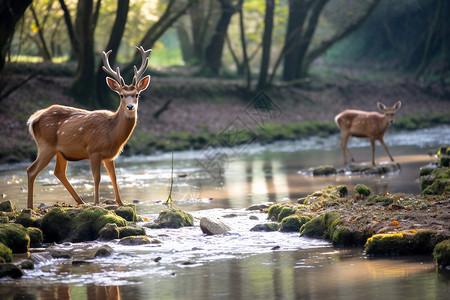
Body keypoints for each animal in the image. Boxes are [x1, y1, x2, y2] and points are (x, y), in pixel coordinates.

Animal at [27, 45, 152, 209]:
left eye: (137, 94)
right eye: (121, 95)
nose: (130, 107)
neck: (111, 133)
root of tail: (33, 119)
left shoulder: (110, 156)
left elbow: (114, 177)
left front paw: (120, 203)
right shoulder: (94, 150)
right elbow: (97, 178)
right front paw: (97, 203)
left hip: (61, 151)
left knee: (58, 172)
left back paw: (80, 201)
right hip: (46, 146)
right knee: (31, 170)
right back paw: (30, 206)